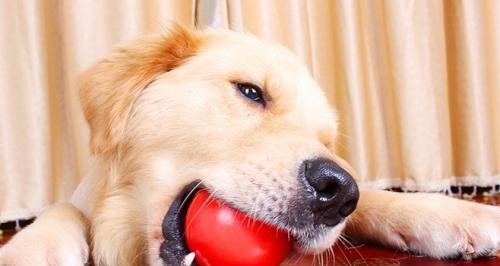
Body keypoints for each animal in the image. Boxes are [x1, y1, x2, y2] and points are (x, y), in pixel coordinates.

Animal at [0, 25, 500, 266]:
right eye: (251, 92)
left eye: (326, 139)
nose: (338, 190)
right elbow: (63, 210)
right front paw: (31, 251)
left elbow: (376, 198)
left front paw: (460, 215)